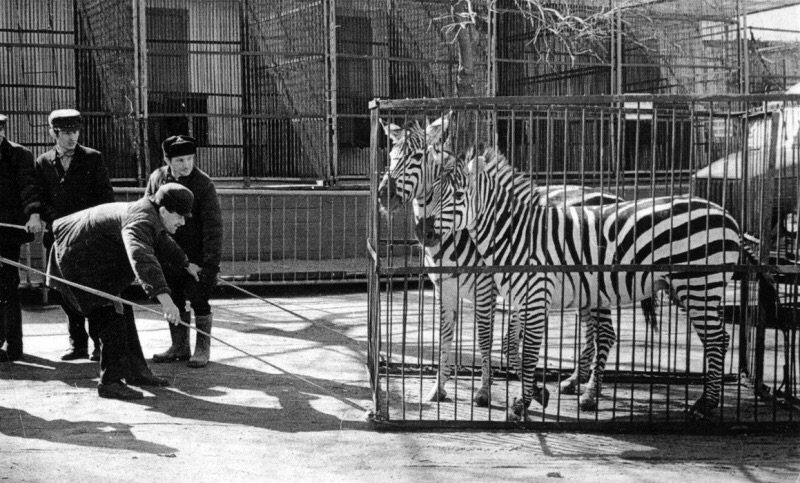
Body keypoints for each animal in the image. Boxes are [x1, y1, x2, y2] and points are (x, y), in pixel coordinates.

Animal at [378, 116, 628, 408]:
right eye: (390, 156)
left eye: (417, 157)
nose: (384, 195)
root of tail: (616, 196)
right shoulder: (444, 290)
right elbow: (445, 338)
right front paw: (438, 389)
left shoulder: (487, 289)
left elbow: (488, 340)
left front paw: (485, 391)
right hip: (584, 289)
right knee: (592, 334)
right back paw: (575, 381)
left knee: (605, 334)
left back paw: (590, 394)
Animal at [416, 148, 760, 424]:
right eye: (428, 193)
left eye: (458, 197)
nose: (424, 233)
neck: (516, 234)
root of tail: (728, 216)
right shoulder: (518, 298)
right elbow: (511, 346)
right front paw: (535, 394)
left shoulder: (533, 295)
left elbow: (525, 352)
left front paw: (521, 404)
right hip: (695, 290)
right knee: (718, 339)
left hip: (699, 285)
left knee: (716, 340)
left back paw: (704, 405)